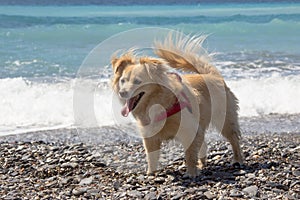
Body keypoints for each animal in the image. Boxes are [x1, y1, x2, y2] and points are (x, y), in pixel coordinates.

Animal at [111, 32, 243, 177]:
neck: (156, 103)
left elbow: (190, 154)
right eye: (123, 81)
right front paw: (151, 173)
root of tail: (212, 75)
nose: (122, 93)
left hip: (224, 120)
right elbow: (151, 156)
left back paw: (237, 160)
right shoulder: (150, 135)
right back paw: (202, 164)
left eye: (137, 81)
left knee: (234, 140)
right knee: (204, 143)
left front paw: (191, 172)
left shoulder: (189, 129)